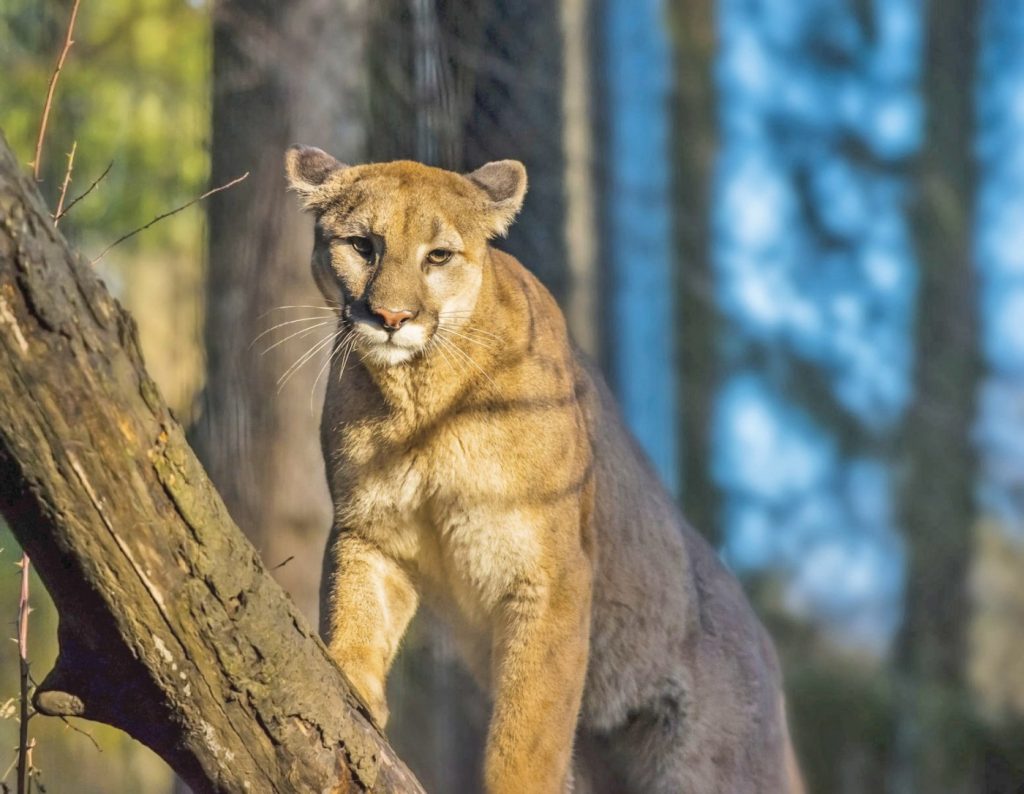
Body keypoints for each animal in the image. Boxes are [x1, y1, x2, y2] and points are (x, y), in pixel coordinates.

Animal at [284, 144, 802, 794]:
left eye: (438, 256)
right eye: (361, 245)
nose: (391, 316)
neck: (418, 397)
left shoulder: (552, 571)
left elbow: (529, 728)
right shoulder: (371, 526)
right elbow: (354, 607)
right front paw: (350, 685)